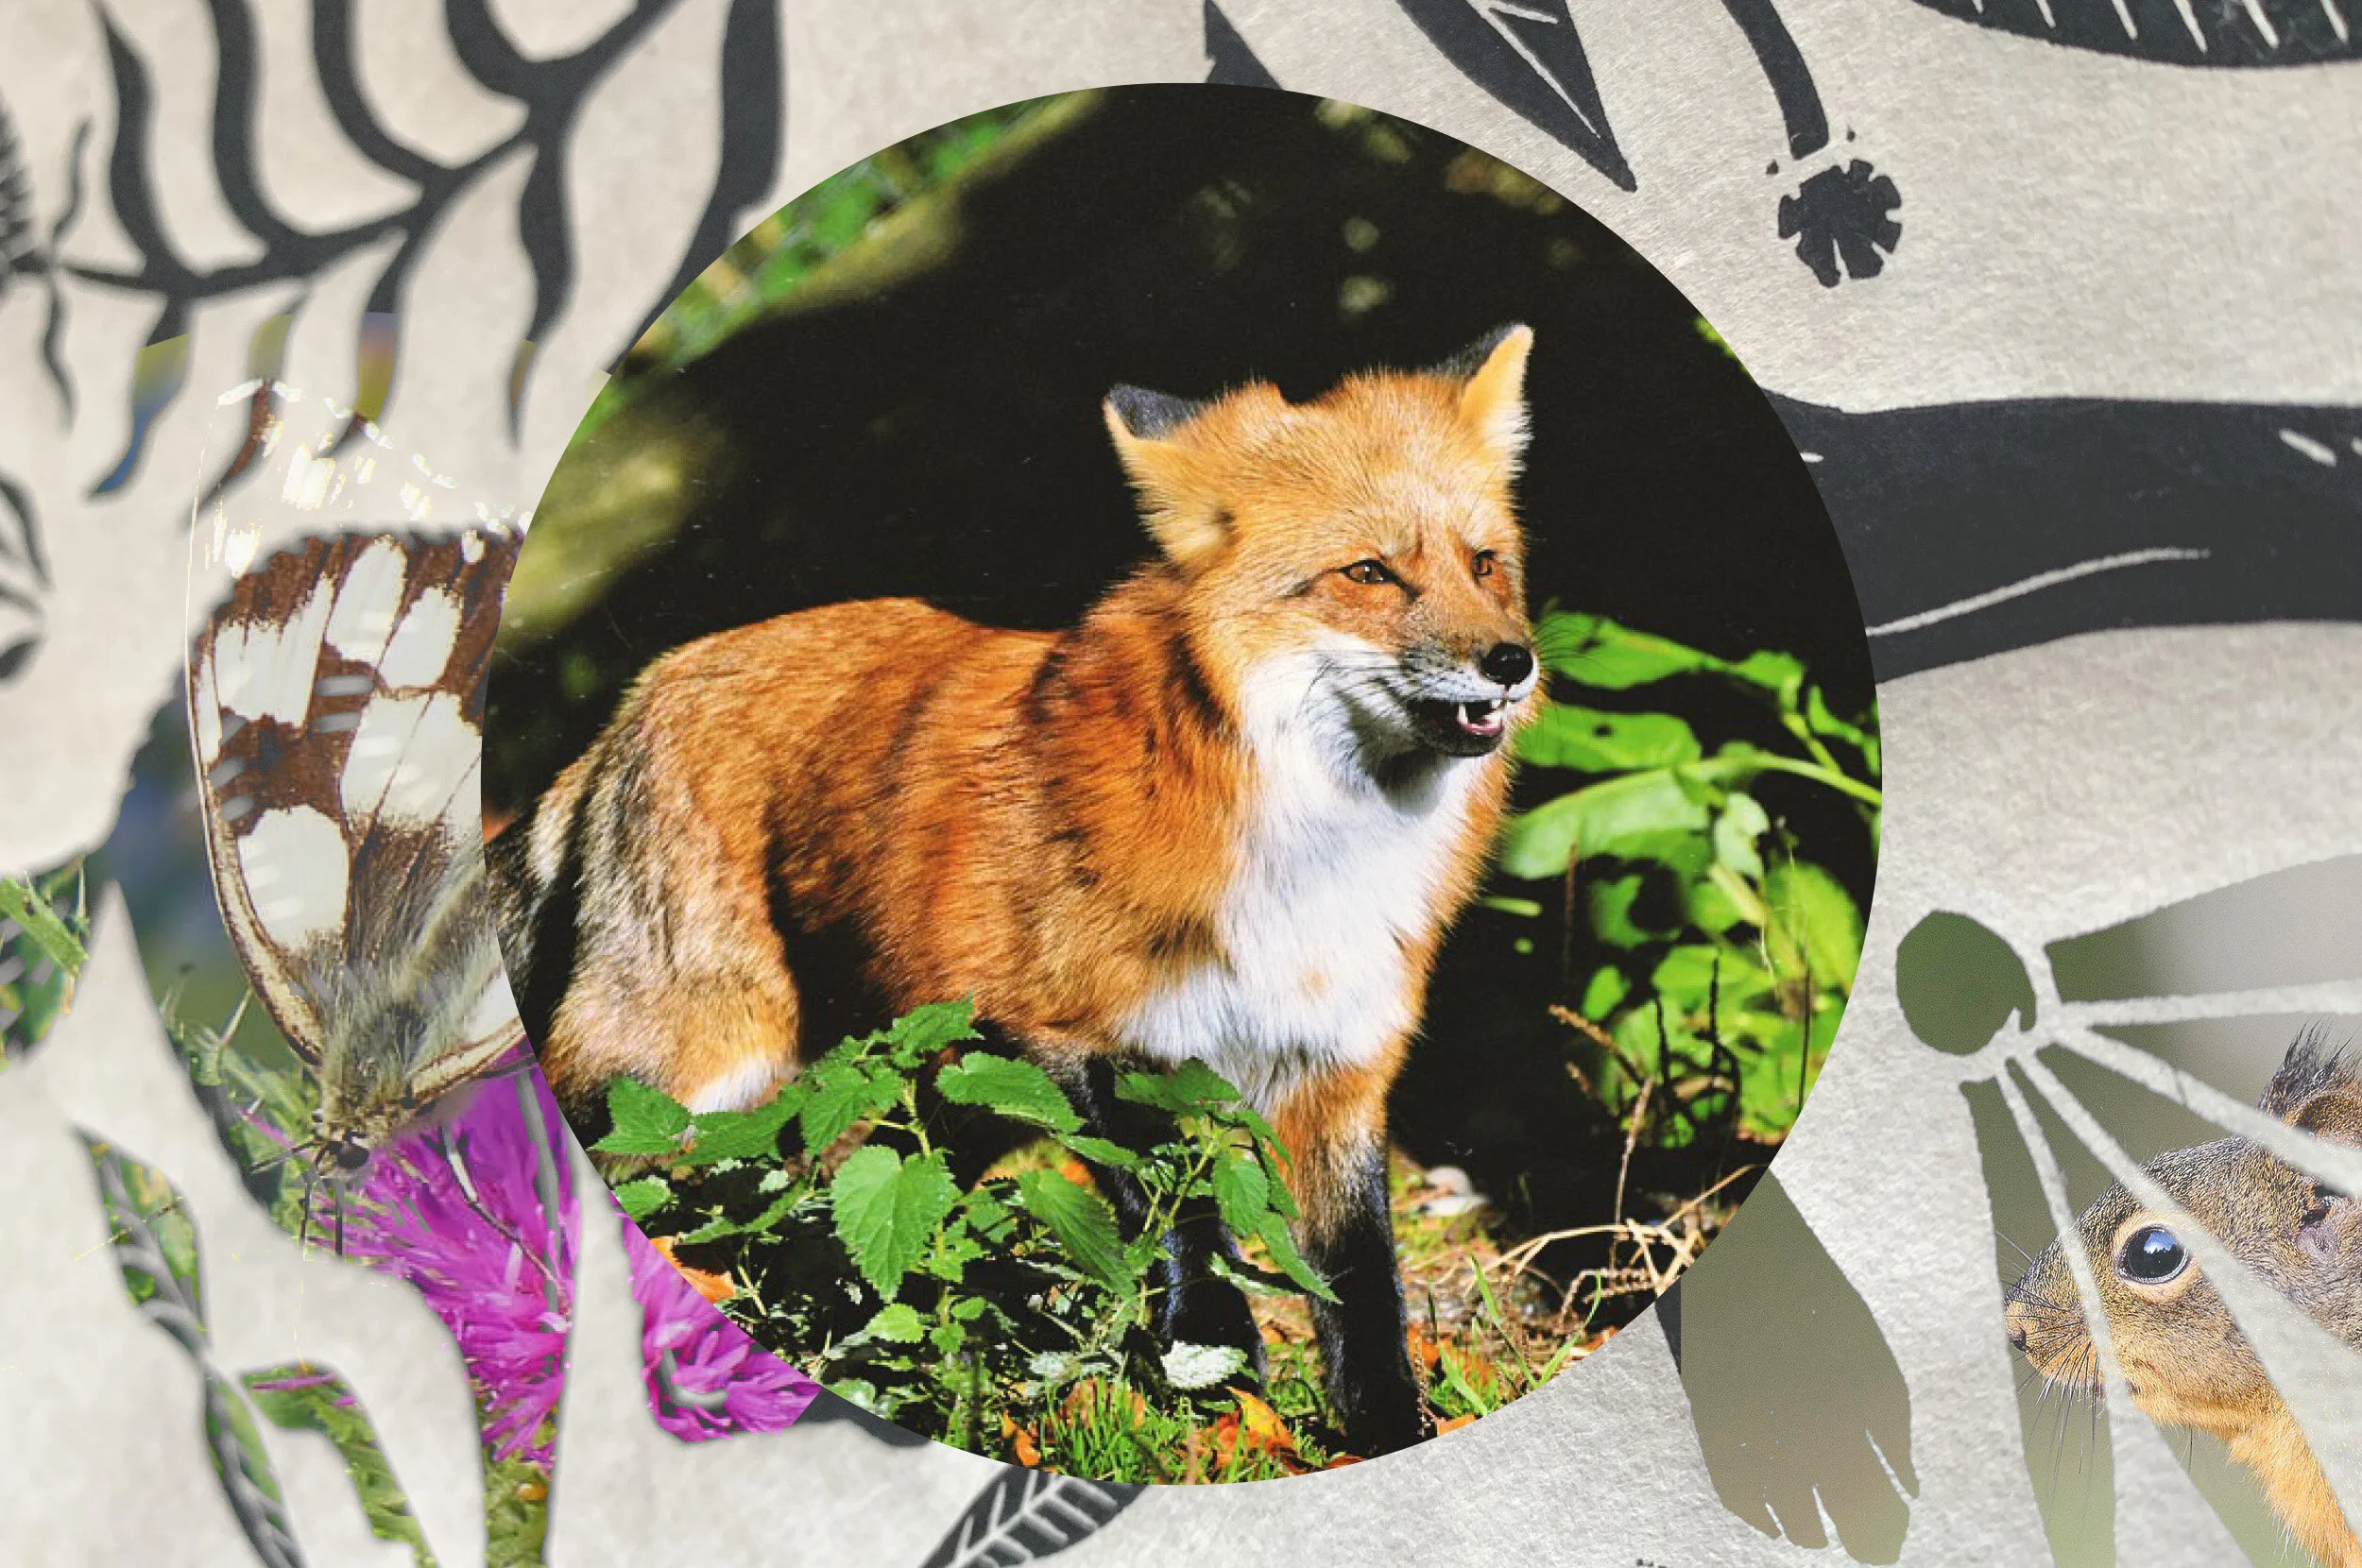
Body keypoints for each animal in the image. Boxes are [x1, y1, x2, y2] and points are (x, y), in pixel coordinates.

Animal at [488, 325, 1544, 1455]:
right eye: (1370, 573)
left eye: (1483, 563)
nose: (1512, 661)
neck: (1309, 850)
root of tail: (644, 690)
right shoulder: (1077, 1040)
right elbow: (1182, 1227)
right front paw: (1210, 1383)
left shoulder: (1335, 1070)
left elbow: (1362, 1289)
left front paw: (1386, 1433)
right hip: (689, 1070)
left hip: (932, 1091)